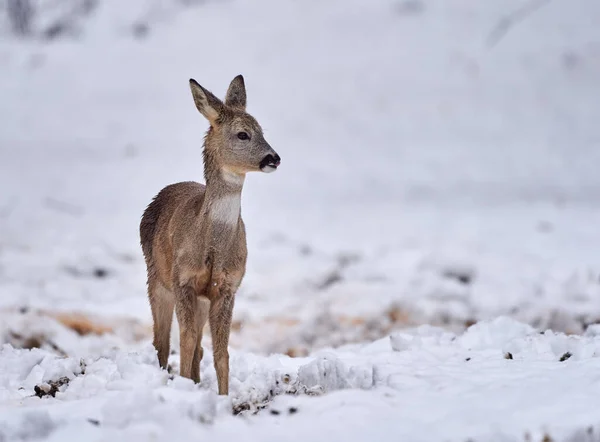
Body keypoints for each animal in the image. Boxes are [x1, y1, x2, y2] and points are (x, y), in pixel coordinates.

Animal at [141, 74, 282, 396]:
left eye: (262, 130)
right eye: (243, 134)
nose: (274, 158)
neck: (212, 247)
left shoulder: (227, 287)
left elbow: (220, 351)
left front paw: (223, 396)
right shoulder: (183, 280)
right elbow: (185, 339)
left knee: (198, 347)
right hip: (156, 277)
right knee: (161, 342)